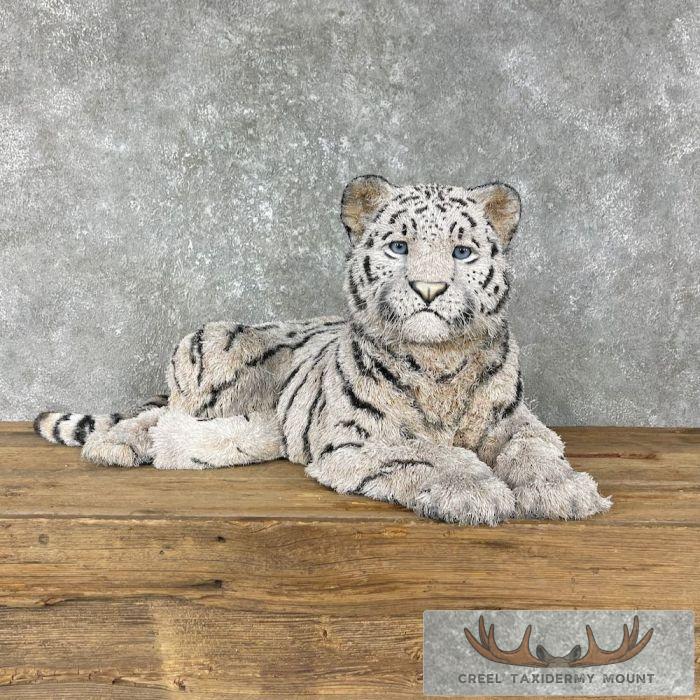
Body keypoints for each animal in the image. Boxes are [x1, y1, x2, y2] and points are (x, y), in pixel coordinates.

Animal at [34, 175, 611, 525]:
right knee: (155, 416)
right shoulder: (356, 439)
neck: (439, 363)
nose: (428, 289)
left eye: (461, 251)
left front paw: (567, 491)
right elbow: (429, 452)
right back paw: (115, 446)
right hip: (208, 349)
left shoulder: (515, 421)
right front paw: (479, 493)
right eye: (399, 246)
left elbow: (536, 449)